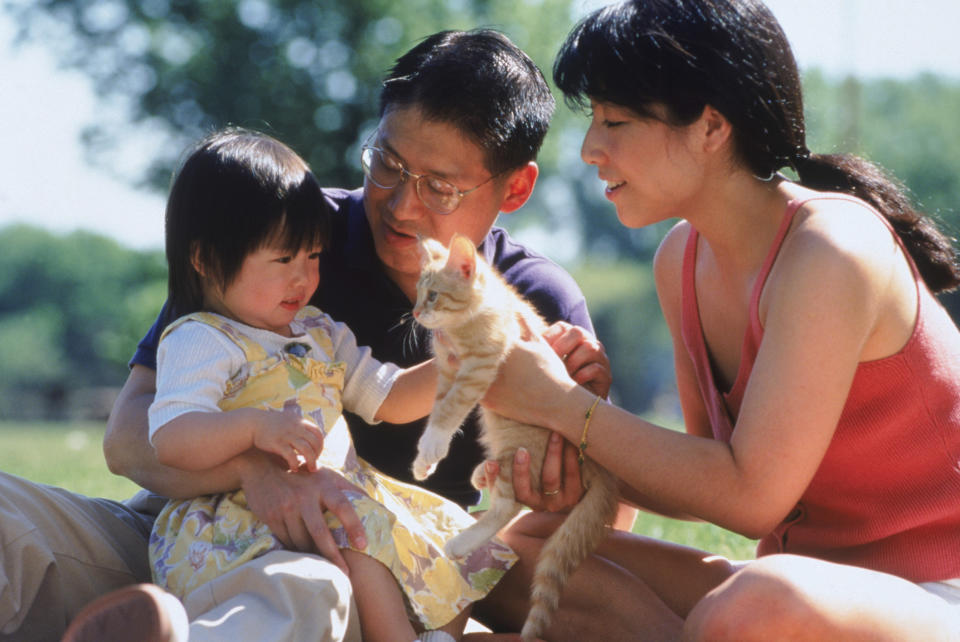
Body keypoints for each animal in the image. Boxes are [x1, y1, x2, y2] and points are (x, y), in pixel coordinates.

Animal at [408, 235, 620, 640]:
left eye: (433, 296)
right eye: (417, 293)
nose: (414, 313)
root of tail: (599, 467)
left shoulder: (479, 366)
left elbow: (450, 409)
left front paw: (433, 443)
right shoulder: (446, 373)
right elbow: (438, 408)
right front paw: (426, 456)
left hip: (518, 452)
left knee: (509, 506)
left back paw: (462, 542)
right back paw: (481, 473)